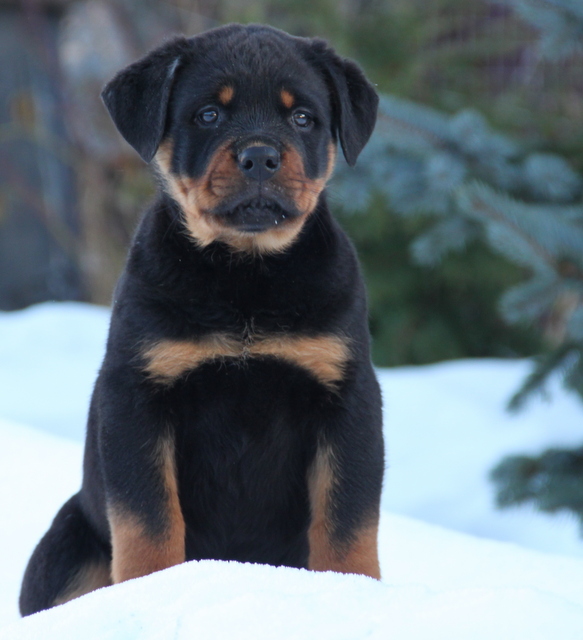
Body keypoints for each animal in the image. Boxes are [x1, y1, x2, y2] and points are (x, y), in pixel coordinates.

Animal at [18, 23, 386, 616]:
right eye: (209, 114)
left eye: (303, 118)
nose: (259, 156)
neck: (245, 275)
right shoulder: (137, 394)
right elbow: (148, 518)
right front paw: (151, 592)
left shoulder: (346, 394)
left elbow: (347, 517)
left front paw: (353, 593)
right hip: (66, 541)